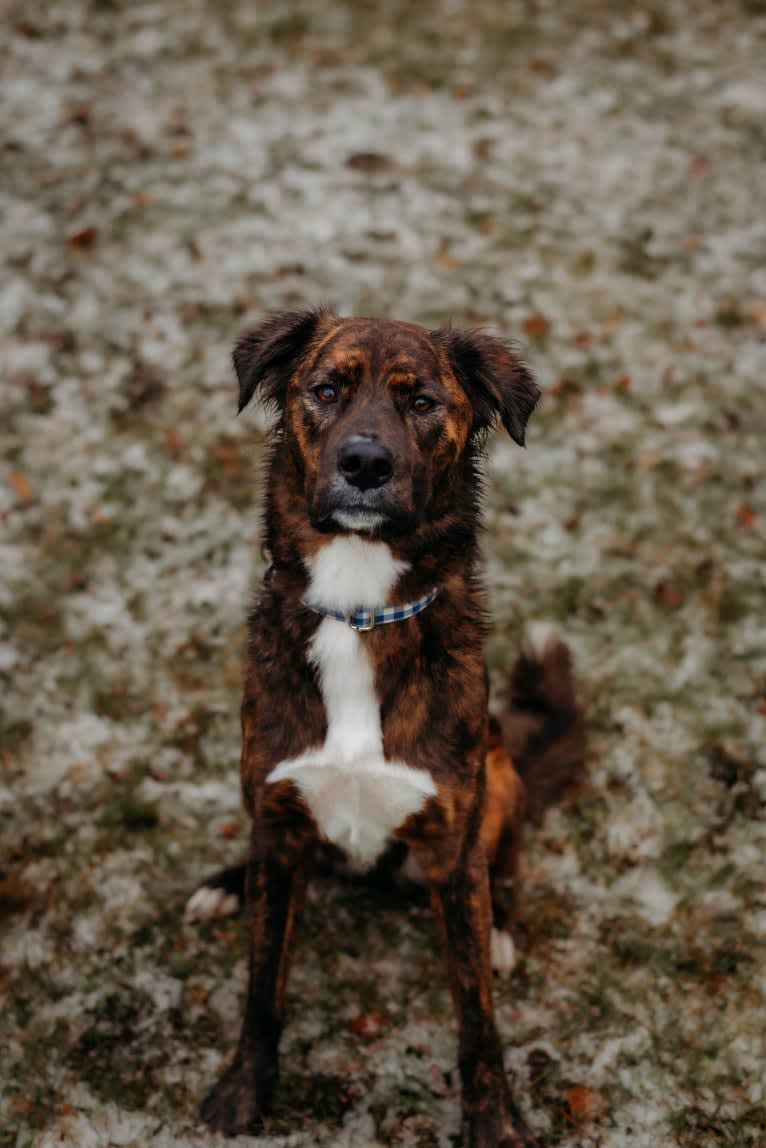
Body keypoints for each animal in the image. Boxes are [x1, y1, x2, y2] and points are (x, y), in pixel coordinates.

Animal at [191, 309, 587, 1143]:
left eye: (422, 402)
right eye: (325, 390)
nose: (365, 463)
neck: (358, 607)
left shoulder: (450, 846)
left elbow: (478, 1023)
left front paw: (494, 1123)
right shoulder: (279, 811)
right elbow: (261, 988)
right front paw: (243, 1091)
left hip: (496, 775)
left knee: (503, 862)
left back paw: (505, 926)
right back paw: (224, 883)